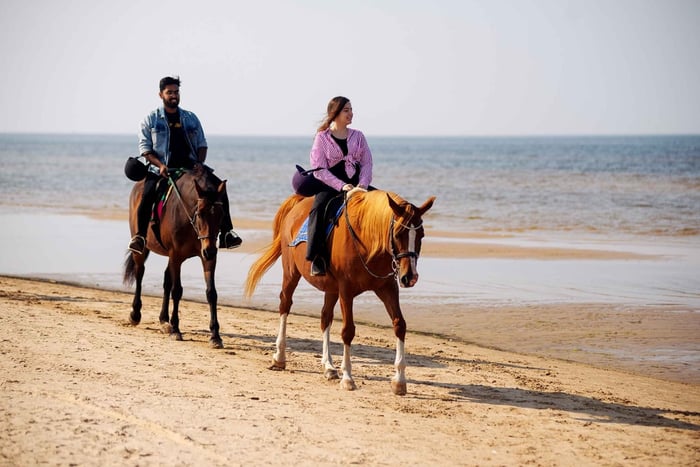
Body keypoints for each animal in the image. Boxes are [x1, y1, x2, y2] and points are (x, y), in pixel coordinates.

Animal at [123, 166, 227, 348]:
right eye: (200, 213)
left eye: (221, 214)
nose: (210, 250)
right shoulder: (176, 256)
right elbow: (177, 290)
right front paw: (176, 329)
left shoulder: (206, 257)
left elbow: (211, 293)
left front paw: (215, 336)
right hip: (142, 251)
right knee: (139, 273)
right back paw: (135, 314)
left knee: (166, 280)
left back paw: (164, 321)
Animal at [244, 189, 435, 395]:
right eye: (399, 233)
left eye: (421, 235)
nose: (410, 277)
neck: (365, 241)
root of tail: (298, 203)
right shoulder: (346, 290)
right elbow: (348, 331)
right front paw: (348, 378)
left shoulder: (387, 288)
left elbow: (399, 324)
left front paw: (399, 380)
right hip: (291, 272)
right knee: (285, 305)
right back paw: (279, 357)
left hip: (331, 288)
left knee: (325, 317)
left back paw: (328, 366)